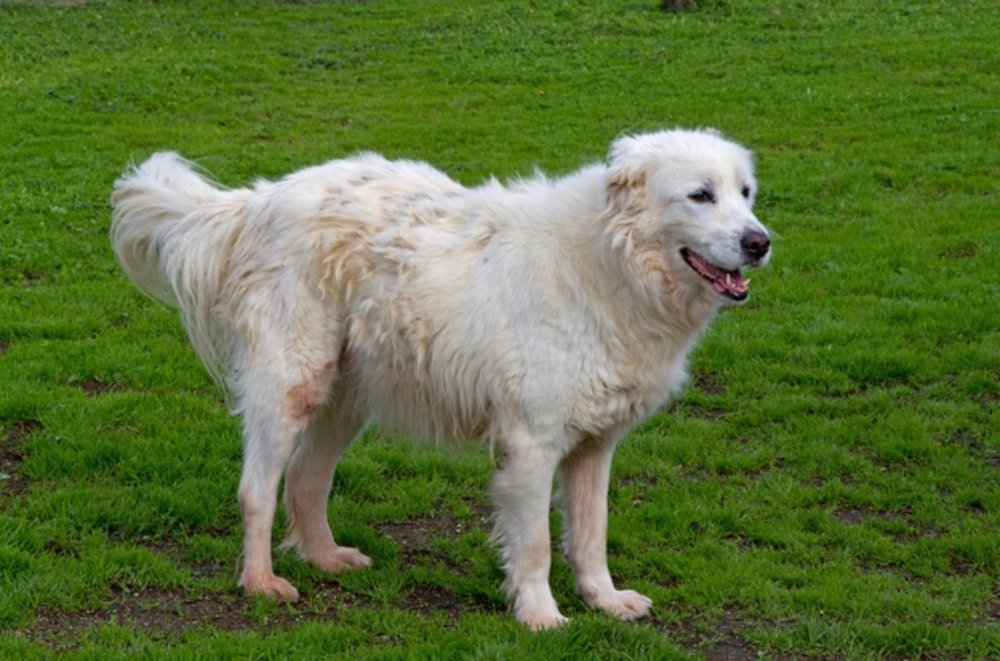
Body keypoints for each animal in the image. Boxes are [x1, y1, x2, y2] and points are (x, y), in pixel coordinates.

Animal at [109, 129, 768, 628]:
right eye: (700, 195)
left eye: (746, 193)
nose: (759, 242)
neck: (609, 262)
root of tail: (261, 199)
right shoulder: (532, 444)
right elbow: (534, 545)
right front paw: (541, 616)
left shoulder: (595, 446)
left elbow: (590, 534)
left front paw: (605, 601)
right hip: (293, 385)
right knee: (257, 490)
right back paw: (261, 583)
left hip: (347, 399)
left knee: (305, 479)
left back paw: (325, 559)